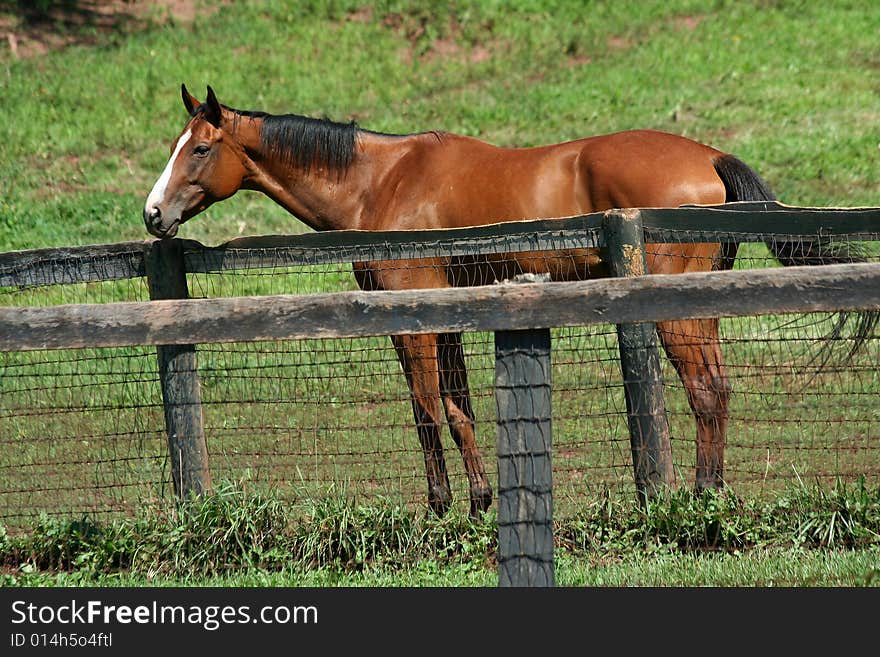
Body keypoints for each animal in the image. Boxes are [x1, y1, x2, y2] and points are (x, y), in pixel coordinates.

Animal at [143, 86, 868, 516]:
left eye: (200, 148)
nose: (153, 214)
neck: (383, 181)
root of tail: (709, 155)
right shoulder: (450, 319)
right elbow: (458, 409)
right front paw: (477, 497)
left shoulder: (412, 321)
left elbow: (428, 411)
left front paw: (447, 504)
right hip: (700, 308)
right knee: (716, 389)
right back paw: (712, 493)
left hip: (674, 314)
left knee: (705, 392)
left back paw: (698, 498)